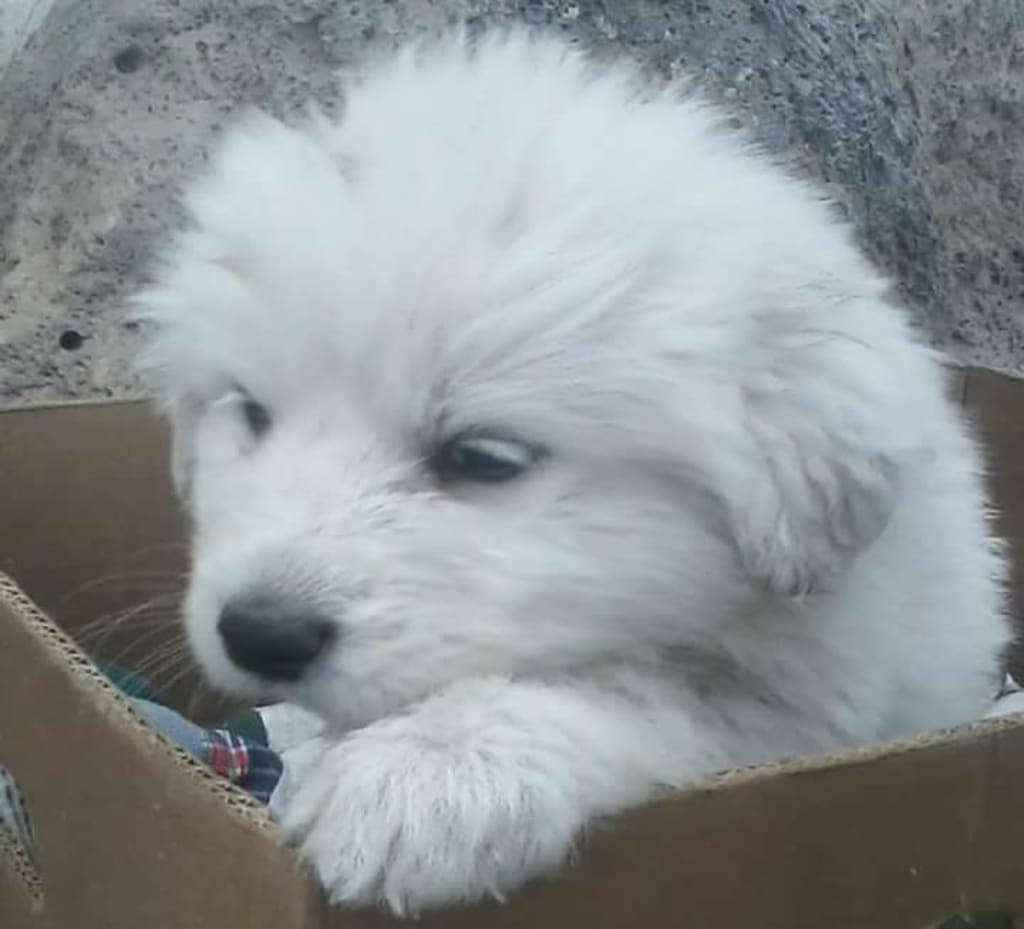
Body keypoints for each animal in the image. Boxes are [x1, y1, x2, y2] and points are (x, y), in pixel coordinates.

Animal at [130, 27, 1007, 913]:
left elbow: (636, 685)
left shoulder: (816, 712)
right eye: (251, 413)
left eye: (482, 457)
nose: (258, 632)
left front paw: (424, 771)